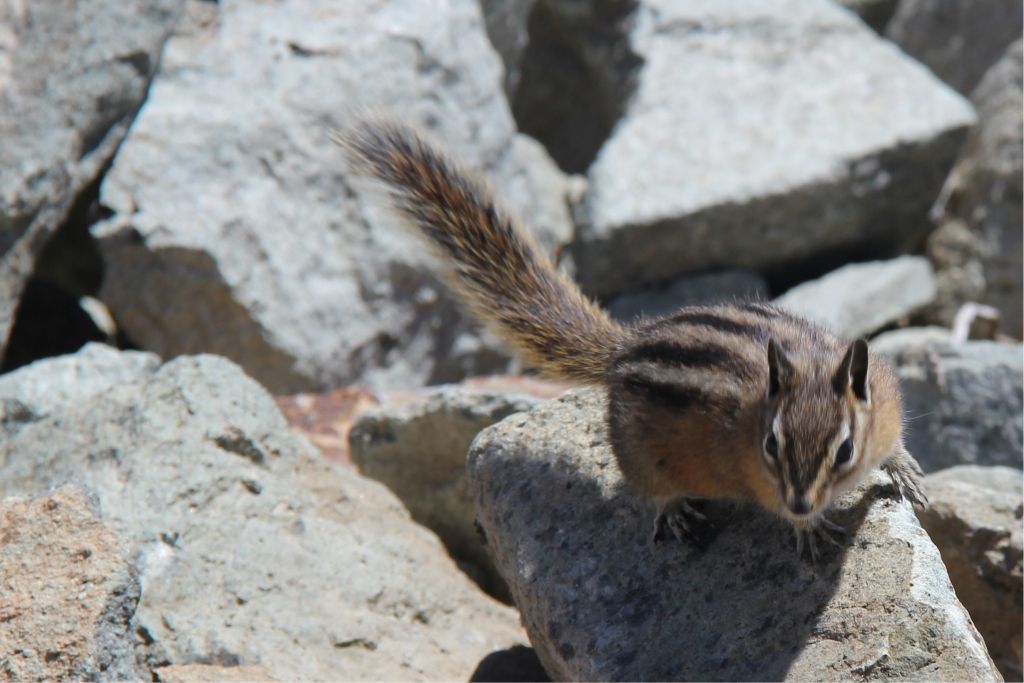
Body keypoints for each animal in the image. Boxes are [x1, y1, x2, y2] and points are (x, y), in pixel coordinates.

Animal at [337, 121, 929, 560]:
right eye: (770, 447)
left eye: (845, 449)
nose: (804, 503)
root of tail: (626, 348)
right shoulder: (763, 479)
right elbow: (776, 506)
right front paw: (807, 529)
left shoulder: (884, 396)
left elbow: (894, 440)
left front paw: (904, 468)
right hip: (641, 455)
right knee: (651, 488)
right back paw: (675, 511)